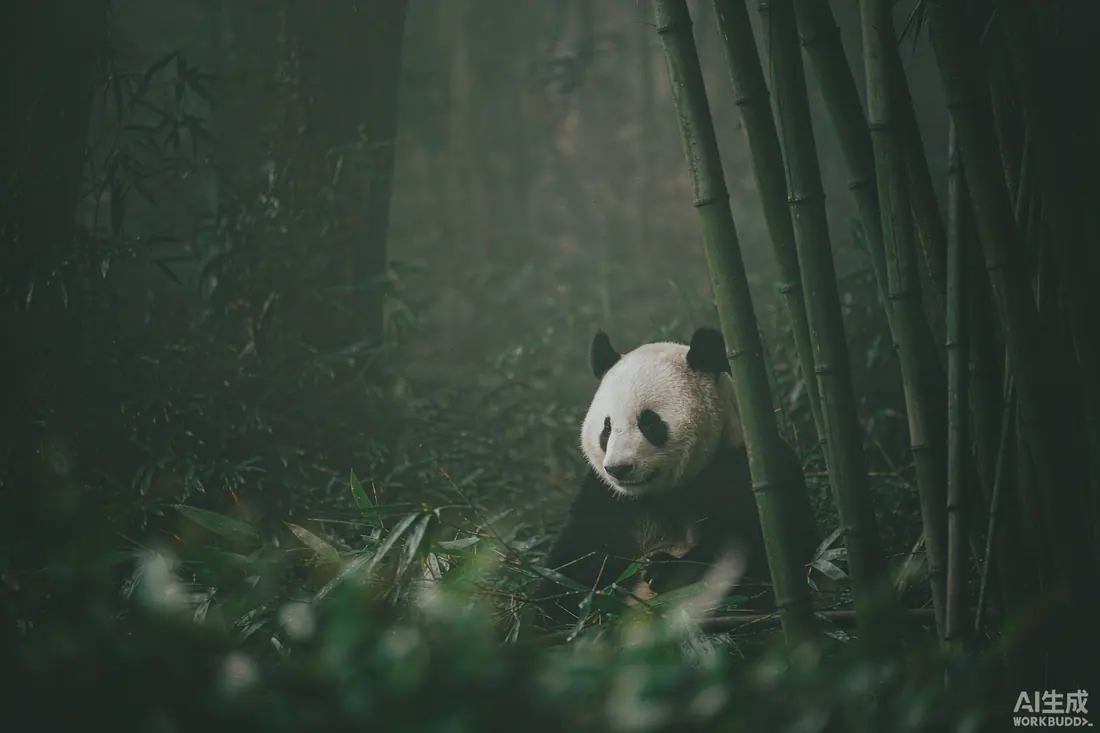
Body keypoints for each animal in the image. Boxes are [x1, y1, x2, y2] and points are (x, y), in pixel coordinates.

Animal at [533, 326, 819, 628]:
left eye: (649, 422)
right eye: (607, 428)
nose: (619, 468)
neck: (661, 494)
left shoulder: (744, 470)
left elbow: (757, 555)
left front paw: (663, 570)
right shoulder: (608, 500)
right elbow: (576, 559)